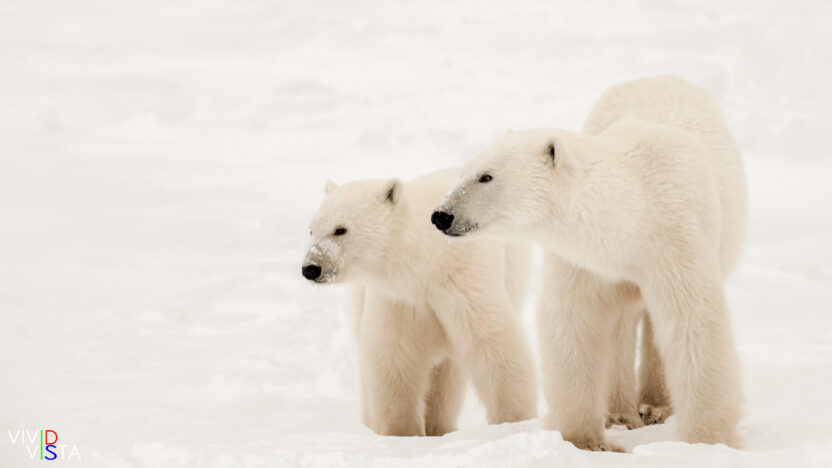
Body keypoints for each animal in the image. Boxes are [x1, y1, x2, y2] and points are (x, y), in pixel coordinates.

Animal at [301, 168, 538, 436]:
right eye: (311, 230)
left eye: (340, 229)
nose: (311, 268)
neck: (428, 262)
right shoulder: (399, 298)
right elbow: (394, 357)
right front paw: (402, 432)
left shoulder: (464, 279)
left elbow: (492, 341)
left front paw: (515, 421)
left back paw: (440, 426)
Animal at [431, 76, 747, 450]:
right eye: (464, 171)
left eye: (486, 176)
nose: (441, 215)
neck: (634, 211)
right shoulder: (587, 260)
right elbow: (574, 319)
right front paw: (585, 439)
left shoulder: (676, 239)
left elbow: (693, 322)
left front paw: (707, 440)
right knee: (621, 323)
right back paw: (621, 412)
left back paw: (655, 406)